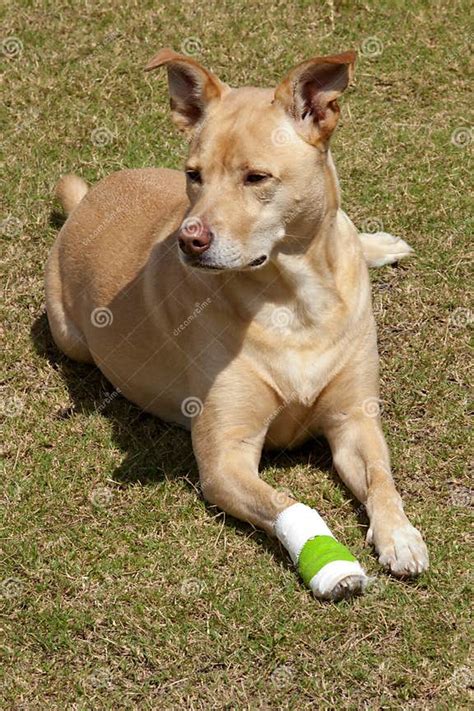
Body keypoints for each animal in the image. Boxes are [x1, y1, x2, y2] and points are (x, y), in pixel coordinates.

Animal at [45, 46, 430, 600]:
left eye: (256, 177)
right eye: (195, 174)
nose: (188, 241)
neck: (294, 299)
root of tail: (87, 198)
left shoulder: (354, 418)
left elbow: (381, 476)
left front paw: (400, 536)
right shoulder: (225, 458)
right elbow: (288, 501)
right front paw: (333, 564)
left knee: (347, 227)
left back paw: (375, 245)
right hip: (70, 334)